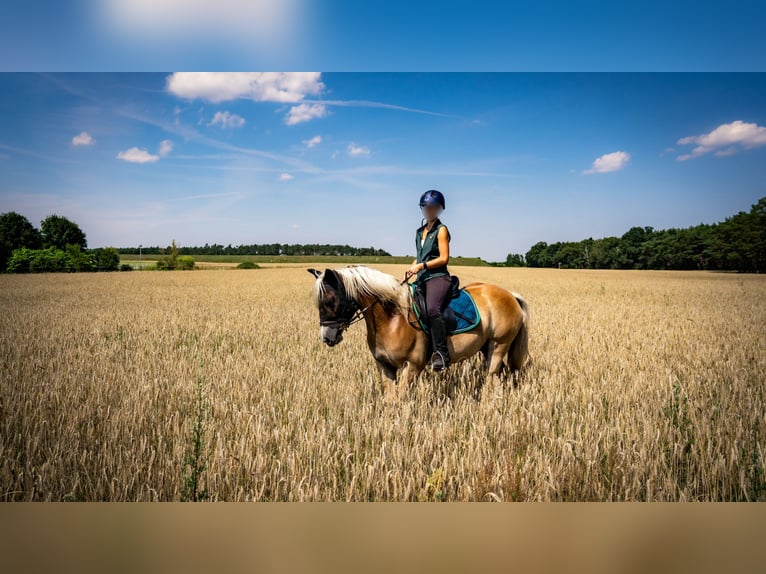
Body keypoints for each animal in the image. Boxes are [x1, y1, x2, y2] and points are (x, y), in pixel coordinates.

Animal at [308, 266, 532, 400]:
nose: (327, 337)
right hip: (487, 348)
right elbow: (391, 399)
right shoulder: (385, 366)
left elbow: (401, 398)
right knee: (501, 375)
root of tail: (511, 295)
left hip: (499, 345)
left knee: (493, 374)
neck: (392, 318)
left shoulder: (413, 365)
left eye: (330, 300)